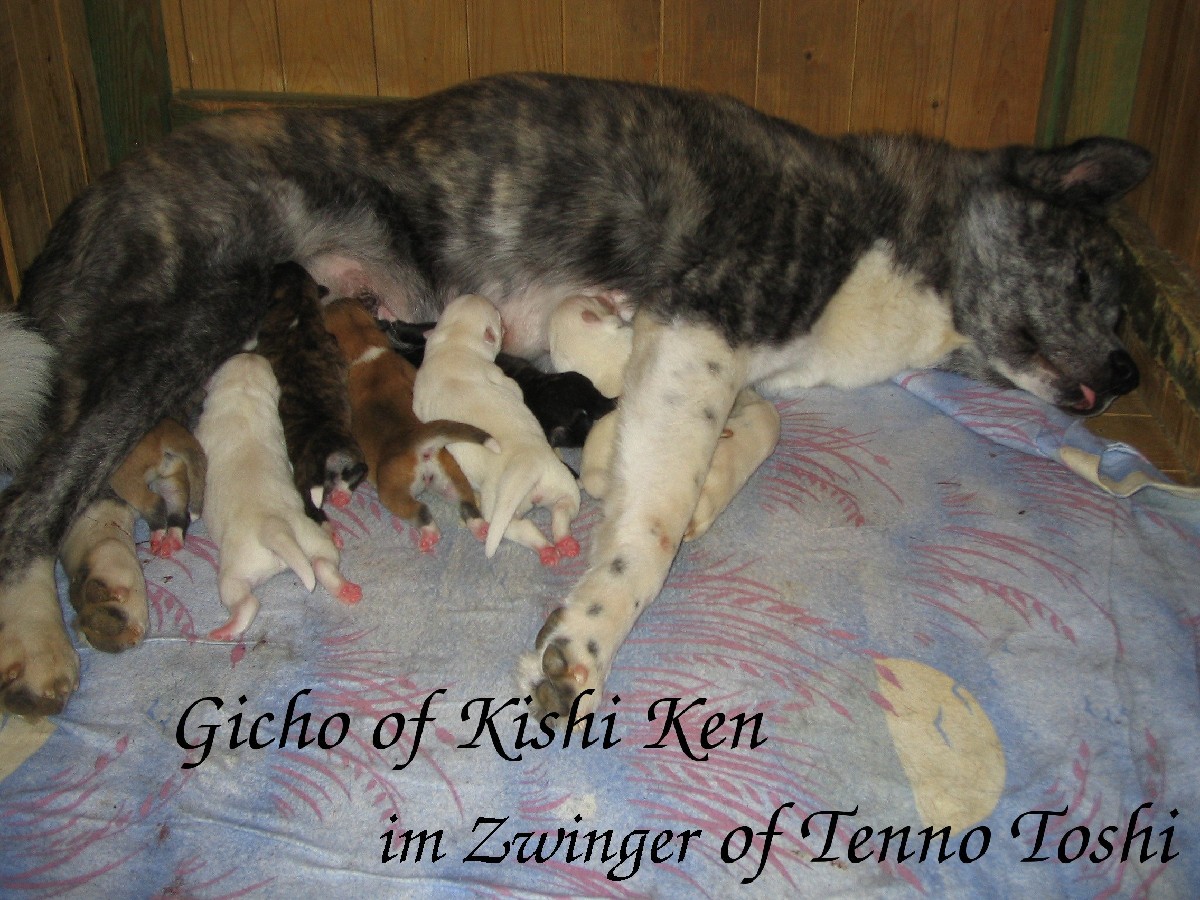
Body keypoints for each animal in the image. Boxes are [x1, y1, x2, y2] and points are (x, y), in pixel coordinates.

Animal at [194, 353, 362, 641]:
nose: (251, 353)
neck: (244, 394)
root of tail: (275, 528)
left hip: (236, 568)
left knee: (244, 600)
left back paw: (224, 630)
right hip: (311, 538)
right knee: (324, 563)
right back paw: (345, 589)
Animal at [253, 262, 368, 525]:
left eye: (275, 273)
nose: (278, 263)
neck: (298, 311)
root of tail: (330, 457)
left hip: (303, 478)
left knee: (310, 504)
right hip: (355, 454)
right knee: (359, 473)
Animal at [322, 297, 494, 551]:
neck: (365, 346)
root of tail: (419, 443)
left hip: (393, 492)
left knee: (420, 511)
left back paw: (429, 534)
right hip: (451, 476)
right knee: (467, 503)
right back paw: (479, 527)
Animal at [412, 294, 582, 565]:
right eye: (497, 315)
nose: (478, 295)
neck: (455, 343)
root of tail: (526, 463)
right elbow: (513, 388)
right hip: (551, 483)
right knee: (556, 512)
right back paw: (559, 545)